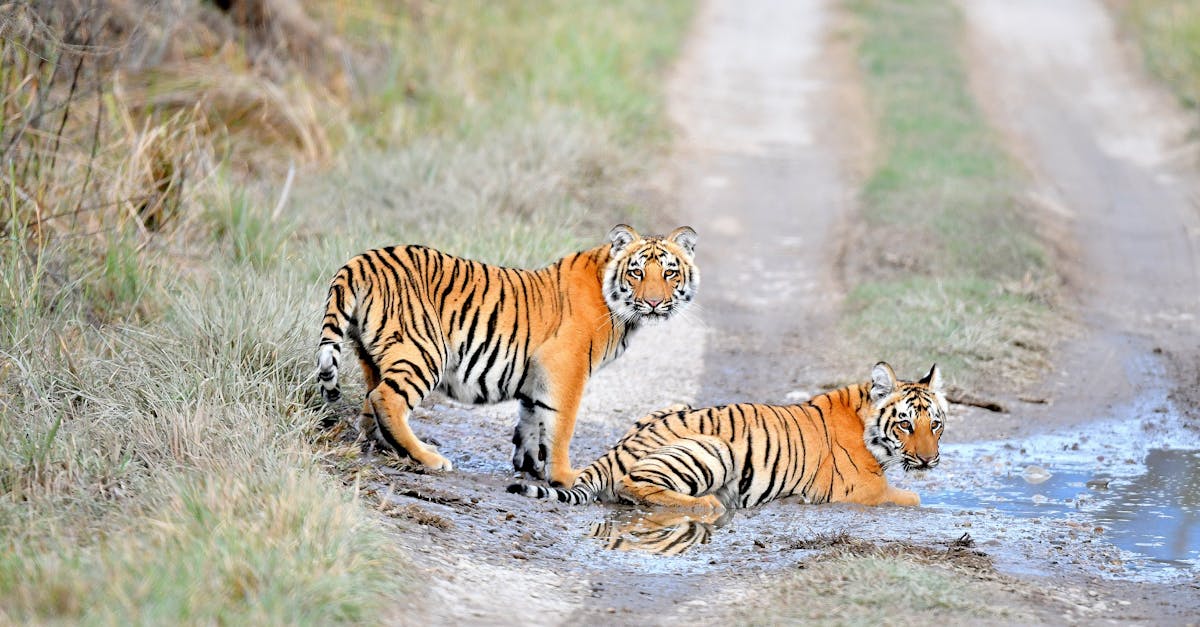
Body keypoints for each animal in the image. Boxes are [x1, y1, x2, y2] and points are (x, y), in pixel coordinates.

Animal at [316, 224, 699, 487]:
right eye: (637, 272)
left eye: (670, 272)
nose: (653, 302)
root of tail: (362, 259)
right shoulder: (565, 367)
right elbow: (562, 425)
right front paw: (564, 475)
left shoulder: (537, 373)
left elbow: (532, 419)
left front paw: (530, 466)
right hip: (424, 351)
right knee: (387, 399)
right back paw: (428, 457)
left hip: (373, 355)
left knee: (371, 400)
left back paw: (384, 445)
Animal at [507, 362, 945, 510]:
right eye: (905, 424)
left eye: (935, 424)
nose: (928, 459)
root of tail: (614, 451)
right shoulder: (864, 490)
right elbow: (912, 497)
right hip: (714, 447)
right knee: (635, 485)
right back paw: (709, 505)